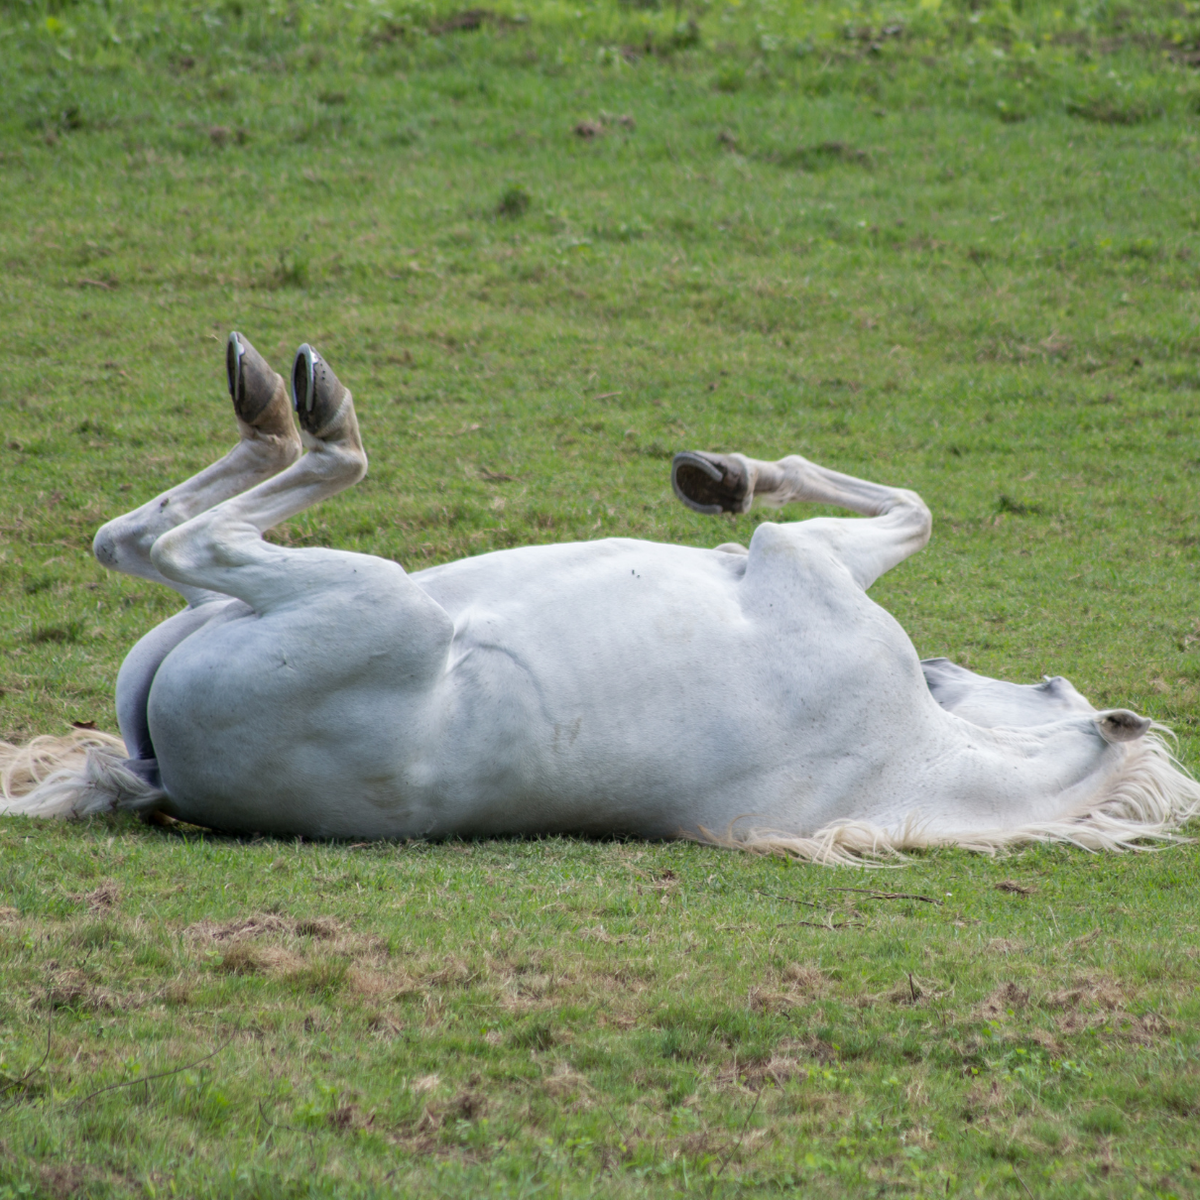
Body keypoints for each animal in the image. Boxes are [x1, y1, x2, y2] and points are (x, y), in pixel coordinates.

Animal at [4, 336, 1195, 864]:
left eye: (1045, 681)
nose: (946, 667)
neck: (914, 751)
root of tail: (157, 775)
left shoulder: (803, 560)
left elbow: (912, 510)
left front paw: (730, 478)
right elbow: (914, 505)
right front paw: (720, 474)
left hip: (367, 600)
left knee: (173, 534)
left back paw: (294, 408)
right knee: (144, 537)